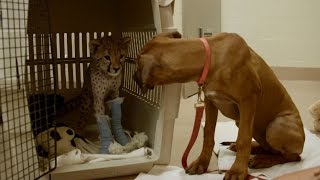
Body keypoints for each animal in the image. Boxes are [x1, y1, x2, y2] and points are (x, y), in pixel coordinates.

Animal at [132, 31, 304, 179]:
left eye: (137, 65)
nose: (133, 77)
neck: (212, 58)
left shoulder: (248, 100)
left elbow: (244, 138)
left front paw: (238, 171)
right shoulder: (210, 101)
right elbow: (208, 133)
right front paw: (201, 163)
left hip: (276, 126)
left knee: (292, 157)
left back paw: (262, 160)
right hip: (245, 123)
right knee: (271, 149)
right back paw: (251, 149)